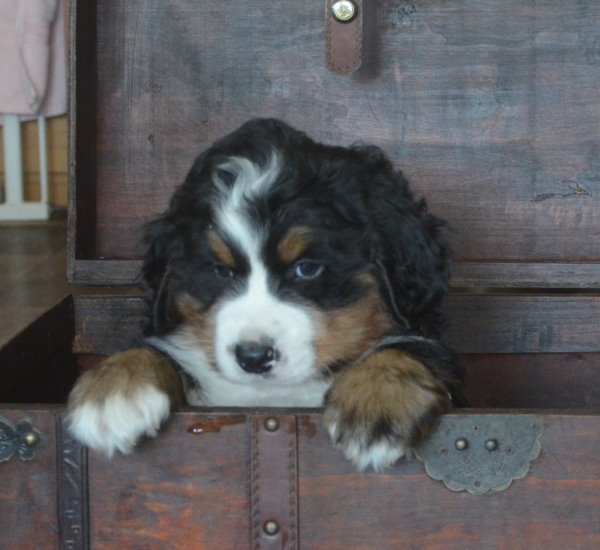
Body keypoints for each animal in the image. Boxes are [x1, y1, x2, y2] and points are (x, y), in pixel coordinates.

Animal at [67, 118, 465, 471]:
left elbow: (410, 346)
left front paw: (375, 405)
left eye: (307, 268)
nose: (254, 357)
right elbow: (154, 347)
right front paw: (112, 394)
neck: (272, 397)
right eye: (221, 271)